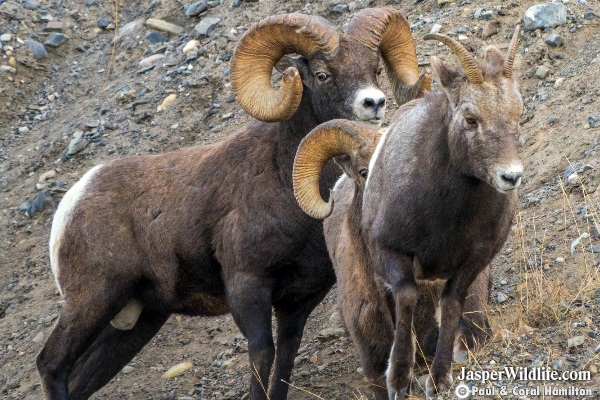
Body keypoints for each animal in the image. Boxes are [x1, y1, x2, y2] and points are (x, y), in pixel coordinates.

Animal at [36, 7, 426, 400]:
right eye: (322, 74)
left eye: (375, 69)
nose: (373, 103)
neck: (288, 183)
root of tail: (72, 203)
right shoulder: (246, 285)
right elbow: (261, 355)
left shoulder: (299, 301)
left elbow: (284, 361)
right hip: (93, 300)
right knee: (51, 365)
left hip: (137, 322)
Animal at [360, 27, 524, 396]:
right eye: (471, 119)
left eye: (518, 114)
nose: (511, 177)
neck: (445, 219)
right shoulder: (389, 251)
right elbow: (406, 296)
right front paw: (398, 379)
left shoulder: (475, 261)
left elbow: (451, 304)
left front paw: (438, 379)